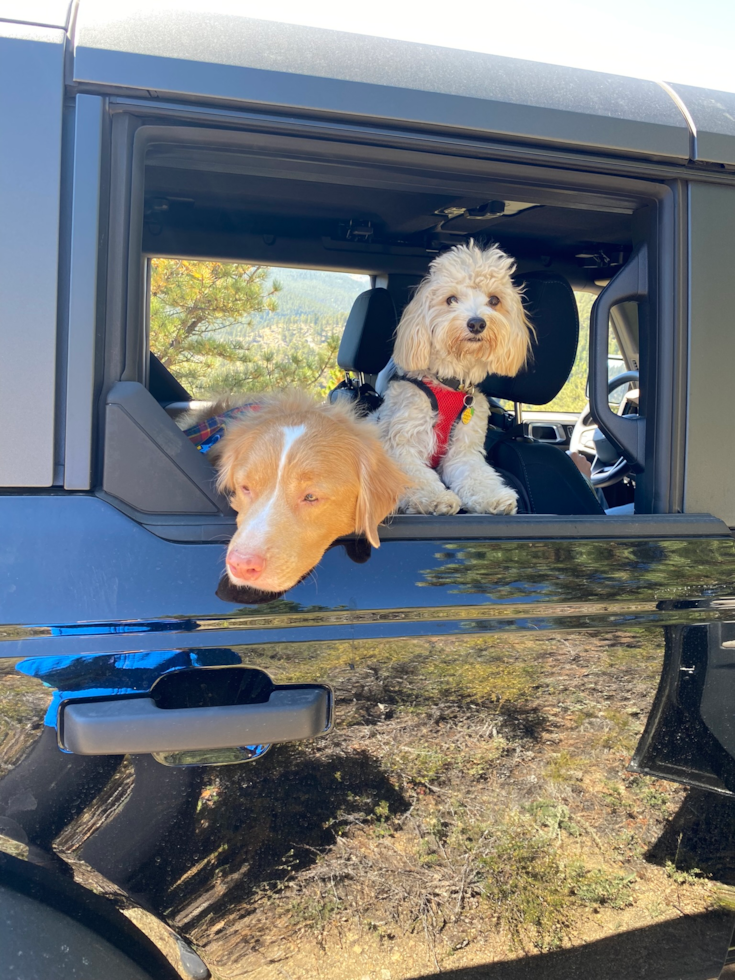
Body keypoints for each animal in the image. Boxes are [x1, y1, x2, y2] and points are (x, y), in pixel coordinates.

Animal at [380, 242, 536, 516]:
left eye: (494, 300)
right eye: (450, 299)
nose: (476, 323)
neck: (450, 384)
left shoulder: (464, 451)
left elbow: (476, 475)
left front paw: (493, 497)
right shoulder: (400, 447)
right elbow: (416, 476)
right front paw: (436, 499)